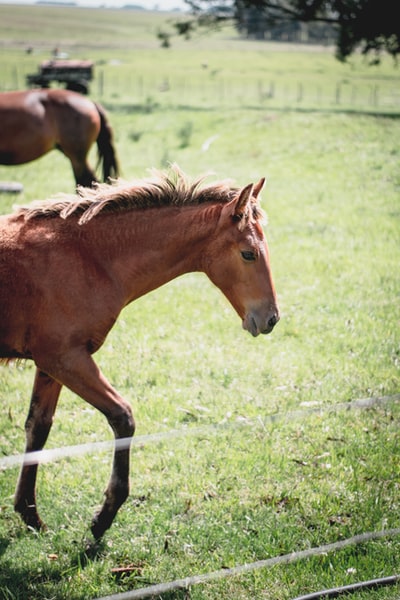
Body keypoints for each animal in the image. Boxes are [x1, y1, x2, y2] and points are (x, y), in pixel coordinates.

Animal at [0, 164, 278, 540]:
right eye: (248, 253)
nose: (271, 318)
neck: (88, 256)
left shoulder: (50, 363)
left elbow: (38, 427)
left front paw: (30, 514)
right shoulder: (66, 358)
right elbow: (123, 417)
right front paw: (104, 516)